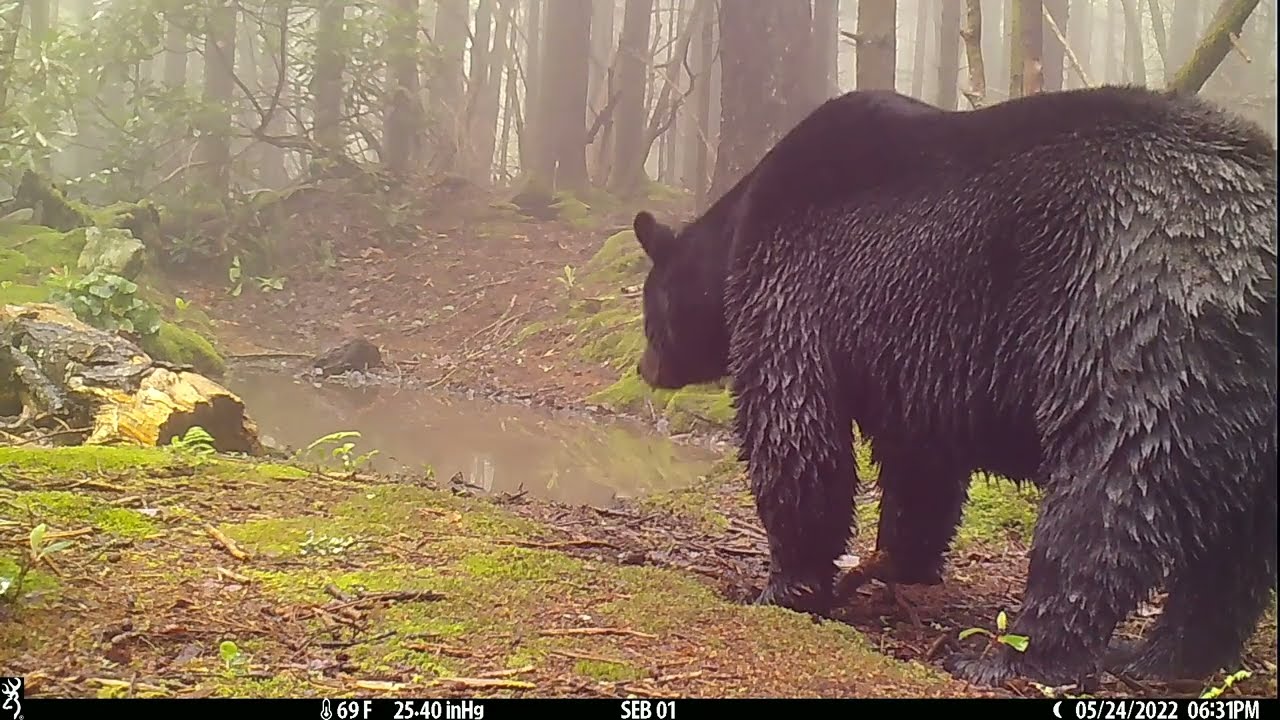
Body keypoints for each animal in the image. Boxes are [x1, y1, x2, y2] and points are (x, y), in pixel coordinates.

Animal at [629, 85, 1278, 688]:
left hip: (1132, 315)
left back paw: (1010, 656)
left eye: (647, 310)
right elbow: (921, 465)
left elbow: (795, 434)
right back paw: (1164, 656)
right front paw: (899, 562)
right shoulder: (916, 361)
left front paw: (784, 585)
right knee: (1234, 549)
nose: (644, 368)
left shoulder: (796, 288)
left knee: (1105, 497)